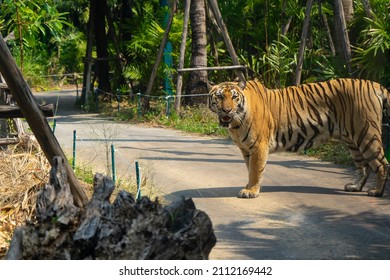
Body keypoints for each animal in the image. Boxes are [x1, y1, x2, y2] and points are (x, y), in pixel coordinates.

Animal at [209, 77, 390, 198]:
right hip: (352, 140)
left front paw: (251, 191)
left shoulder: (258, 146)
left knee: (382, 165)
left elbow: (255, 169)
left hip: (366, 134)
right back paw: (355, 187)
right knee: (364, 167)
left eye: (234, 97)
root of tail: (374, 84)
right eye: (219, 97)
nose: (226, 110)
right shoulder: (246, 149)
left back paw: (376, 192)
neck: (235, 124)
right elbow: (250, 169)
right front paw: (249, 187)